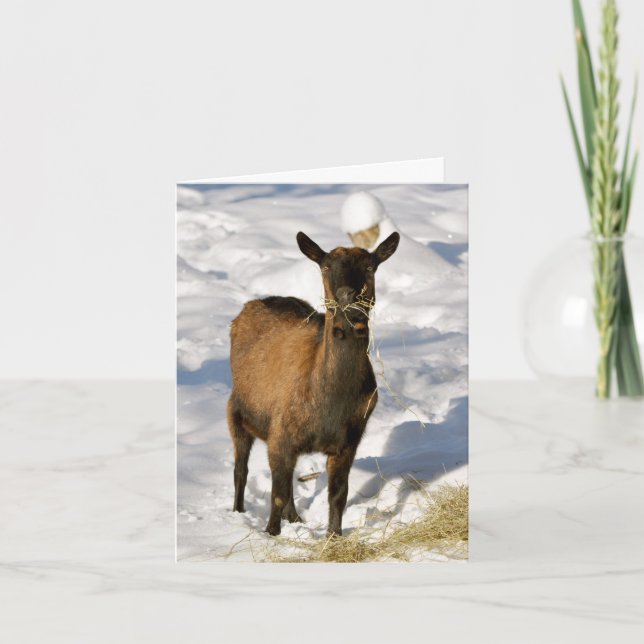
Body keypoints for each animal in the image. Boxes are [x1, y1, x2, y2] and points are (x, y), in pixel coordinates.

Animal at [227, 230, 400, 536]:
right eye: (326, 266)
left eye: (370, 267)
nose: (348, 297)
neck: (329, 403)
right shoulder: (279, 433)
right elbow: (277, 493)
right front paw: (272, 534)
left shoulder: (349, 440)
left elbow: (338, 494)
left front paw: (334, 536)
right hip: (236, 410)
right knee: (241, 469)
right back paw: (238, 512)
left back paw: (295, 519)